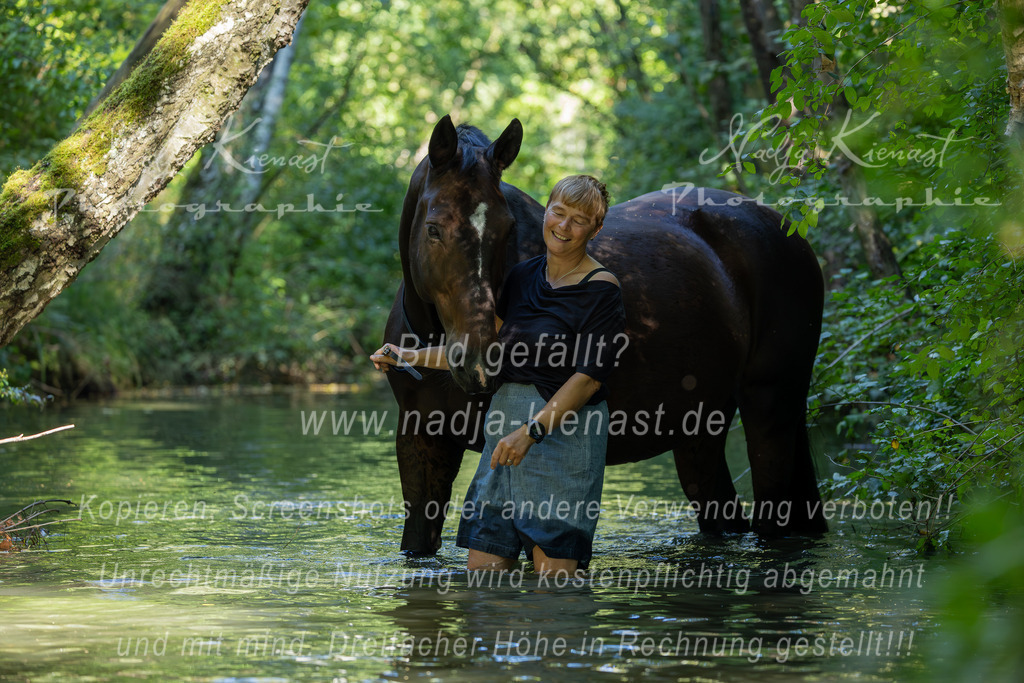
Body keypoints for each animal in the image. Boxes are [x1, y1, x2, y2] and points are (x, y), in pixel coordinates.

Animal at [383, 115, 827, 556]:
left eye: (506, 229)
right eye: (434, 229)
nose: (477, 363)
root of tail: (789, 228)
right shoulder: (422, 439)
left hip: (770, 407)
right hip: (700, 427)